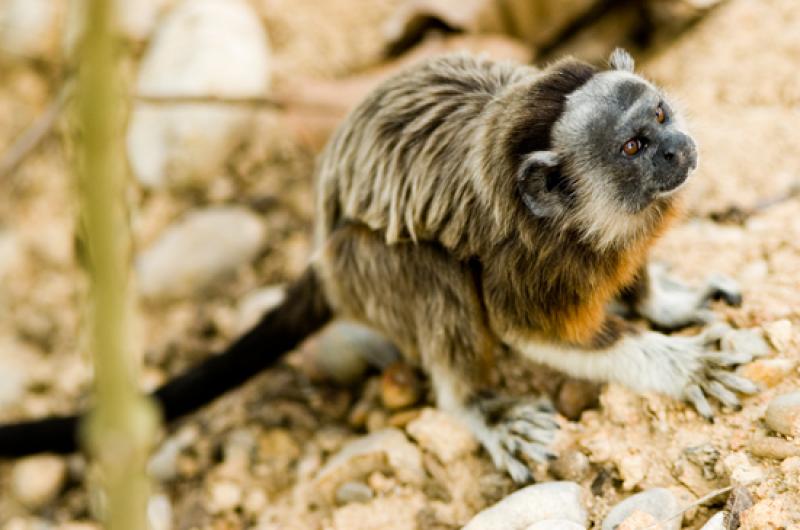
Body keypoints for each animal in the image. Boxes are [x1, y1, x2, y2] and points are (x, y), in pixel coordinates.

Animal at [0, 49, 756, 482]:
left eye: (661, 114)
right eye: (633, 146)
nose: (679, 149)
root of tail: (322, 254)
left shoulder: (620, 233)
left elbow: (633, 266)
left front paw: (665, 304)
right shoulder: (528, 258)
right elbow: (532, 331)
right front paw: (679, 363)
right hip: (363, 273)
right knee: (432, 274)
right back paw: (475, 403)